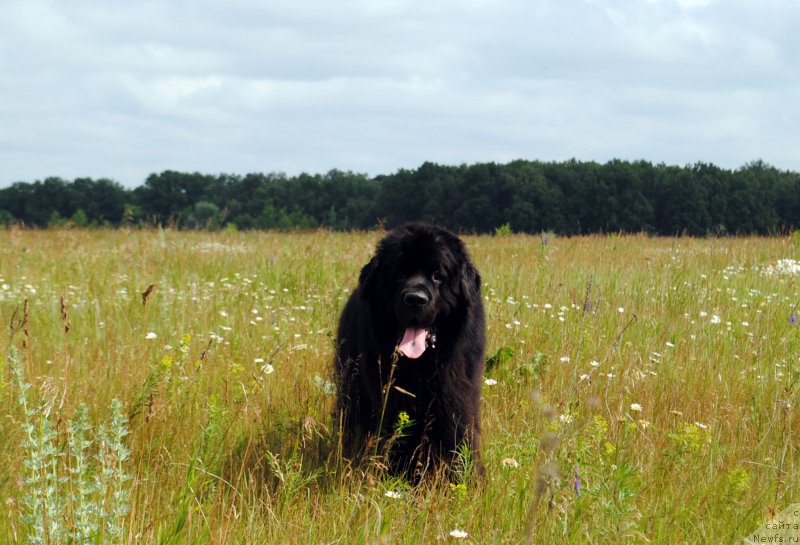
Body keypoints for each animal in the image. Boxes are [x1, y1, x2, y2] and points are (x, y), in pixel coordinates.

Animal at [334, 221, 484, 476]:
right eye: (400, 274)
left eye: (437, 275)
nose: (415, 299)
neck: (423, 365)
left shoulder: (456, 395)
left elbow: (458, 433)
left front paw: (463, 475)